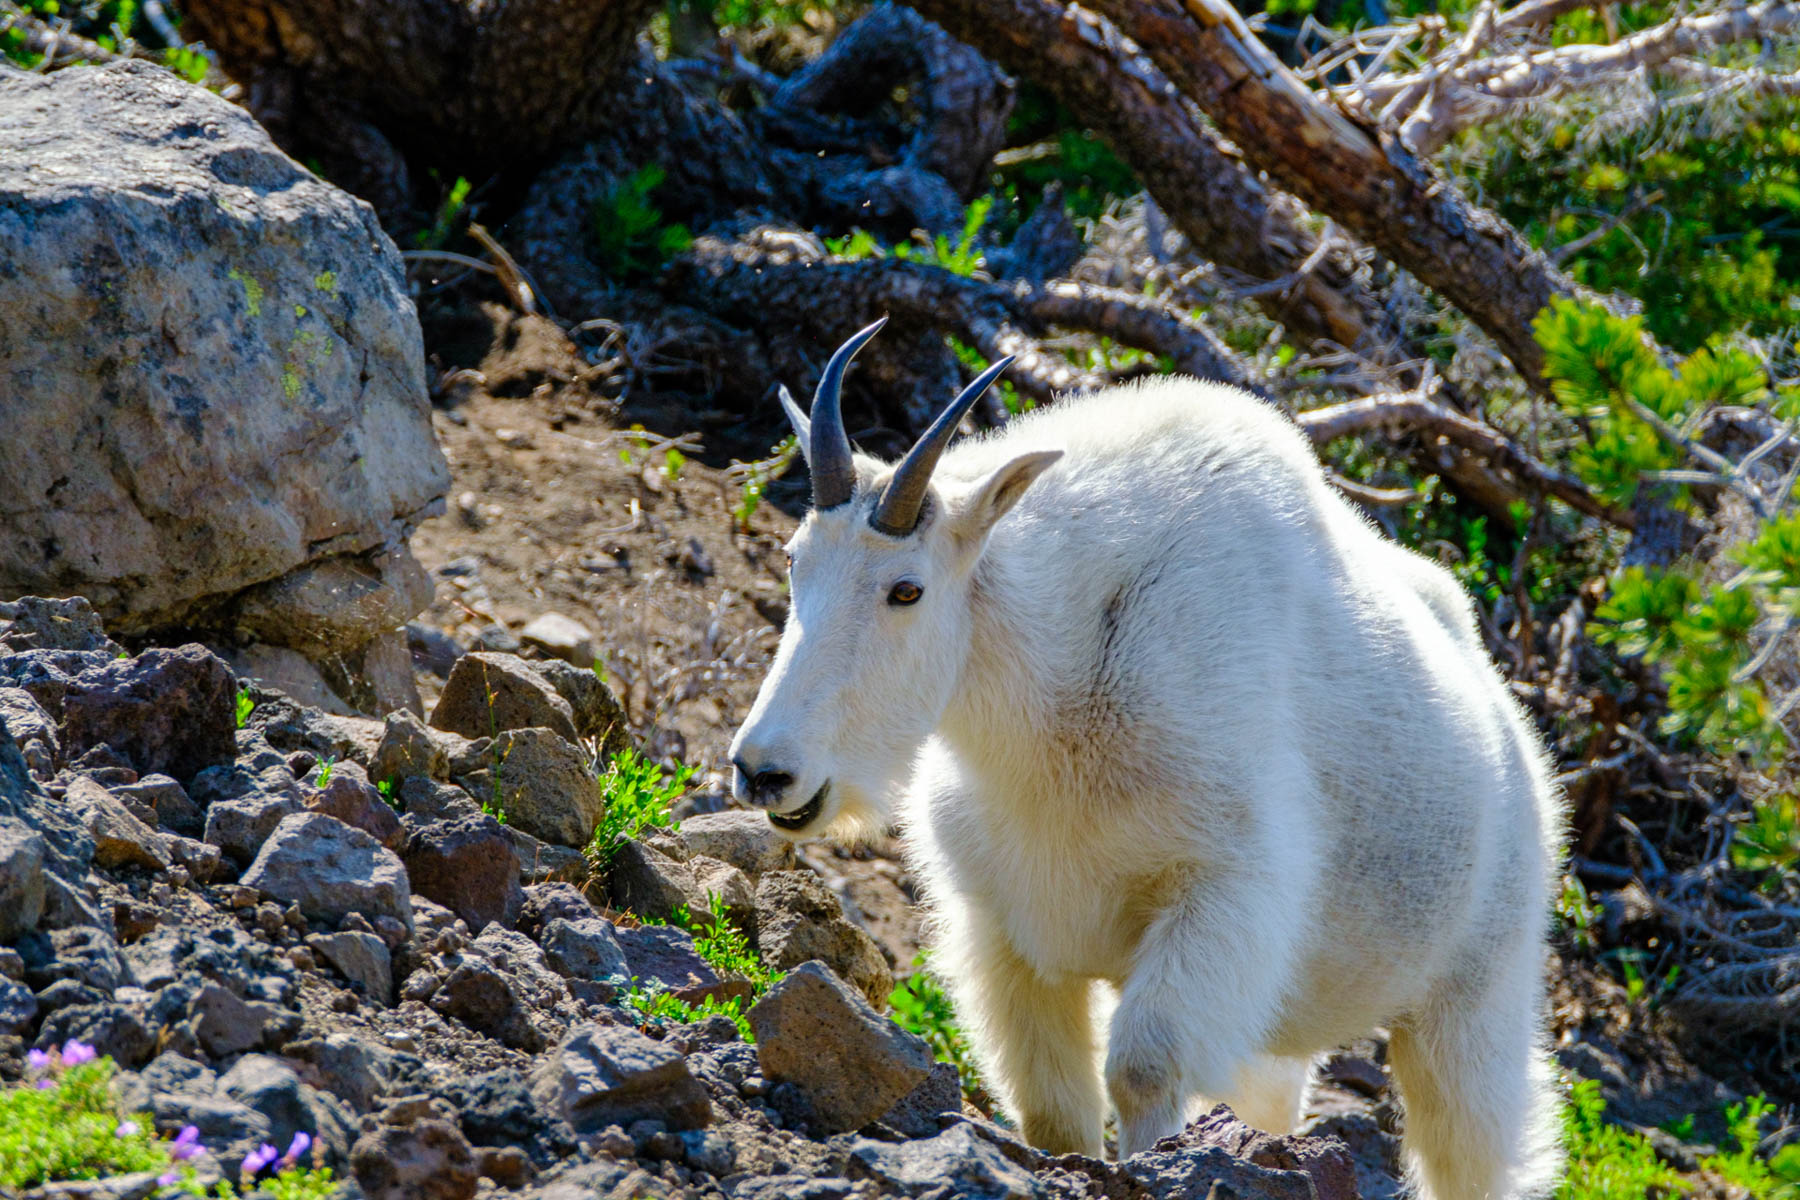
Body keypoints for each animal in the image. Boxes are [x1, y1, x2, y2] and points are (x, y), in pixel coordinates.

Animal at [727, 322, 1562, 1200]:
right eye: (795, 560)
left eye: (906, 589)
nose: (765, 770)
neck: (1062, 676)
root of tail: (1515, 734)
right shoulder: (1004, 930)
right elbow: (1051, 1105)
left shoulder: (1220, 894)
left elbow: (1143, 1069)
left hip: (1472, 997)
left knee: (1473, 1144)